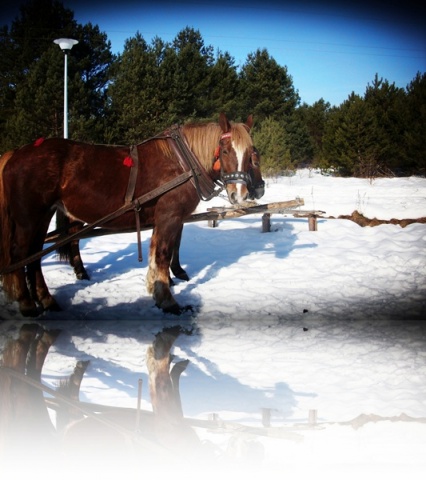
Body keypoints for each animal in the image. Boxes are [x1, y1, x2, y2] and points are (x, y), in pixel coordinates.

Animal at [0, 114, 262, 316]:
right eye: (225, 150)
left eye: (250, 153)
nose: (241, 193)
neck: (182, 162)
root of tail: (15, 153)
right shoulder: (170, 216)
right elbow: (162, 255)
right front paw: (168, 301)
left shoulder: (168, 219)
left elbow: (160, 255)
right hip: (29, 218)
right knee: (20, 255)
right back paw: (27, 304)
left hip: (43, 216)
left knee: (34, 257)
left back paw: (47, 300)